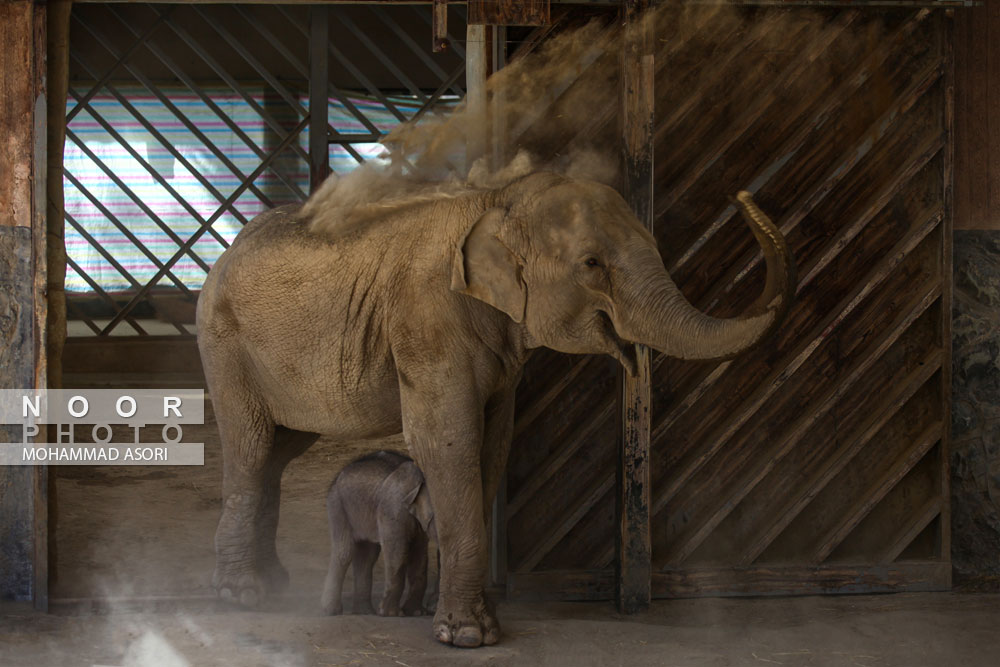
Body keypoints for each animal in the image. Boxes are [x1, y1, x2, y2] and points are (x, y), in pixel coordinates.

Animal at [318, 452, 432, 620]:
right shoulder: (393, 510)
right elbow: (396, 550)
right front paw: (392, 615)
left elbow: (420, 552)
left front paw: (417, 613)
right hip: (337, 505)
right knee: (345, 551)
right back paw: (331, 611)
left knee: (367, 554)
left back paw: (364, 612)